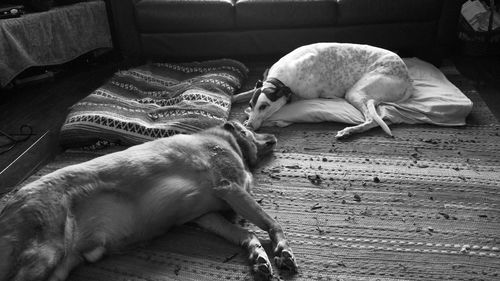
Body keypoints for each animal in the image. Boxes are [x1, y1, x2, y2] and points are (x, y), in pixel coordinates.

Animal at [0, 120, 296, 280]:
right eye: (249, 129)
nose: (274, 137)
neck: (221, 139)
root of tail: (8, 204)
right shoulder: (231, 187)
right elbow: (271, 223)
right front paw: (283, 250)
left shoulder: (206, 217)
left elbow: (247, 234)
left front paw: (259, 256)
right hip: (45, 253)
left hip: (60, 266)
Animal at [236, 42, 416, 137]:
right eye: (251, 105)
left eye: (264, 106)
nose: (249, 126)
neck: (280, 79)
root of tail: (407, 77)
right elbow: (242, 95)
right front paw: (235, 98)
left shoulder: (303, 96)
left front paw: (278, 121)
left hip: (355, 92)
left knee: (371, 120)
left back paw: (348, 131)